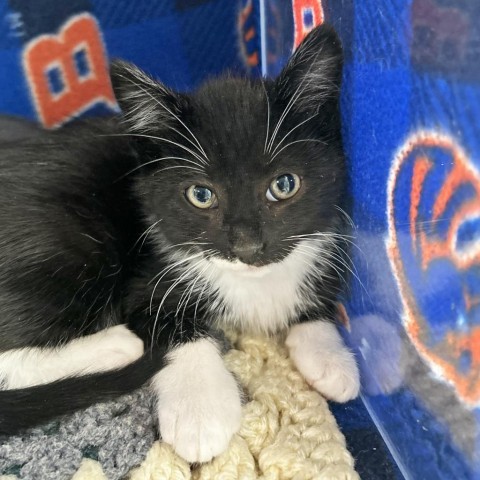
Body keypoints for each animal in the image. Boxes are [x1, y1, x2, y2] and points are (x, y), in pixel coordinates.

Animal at [0, 25, 358, 462]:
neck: (251, 282)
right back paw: (118, 345)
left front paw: (329, 357)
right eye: (201, 195)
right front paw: (200, 411)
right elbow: (171, 324)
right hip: (73, 246)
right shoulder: (149, 274)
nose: (247, 247)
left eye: (284, 184)